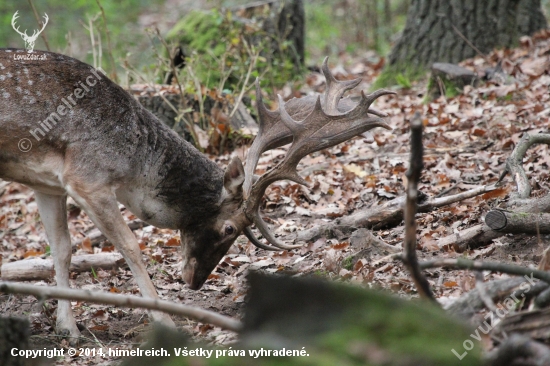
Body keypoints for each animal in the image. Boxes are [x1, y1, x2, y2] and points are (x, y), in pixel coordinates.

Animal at [1, 47, 396, 342]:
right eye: (230, 229)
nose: (195, 281)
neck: (131, 166)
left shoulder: (47, 183)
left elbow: (61, 250)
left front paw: (67, 328)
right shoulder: (87, 177)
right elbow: (131, 247)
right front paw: (166, 321)